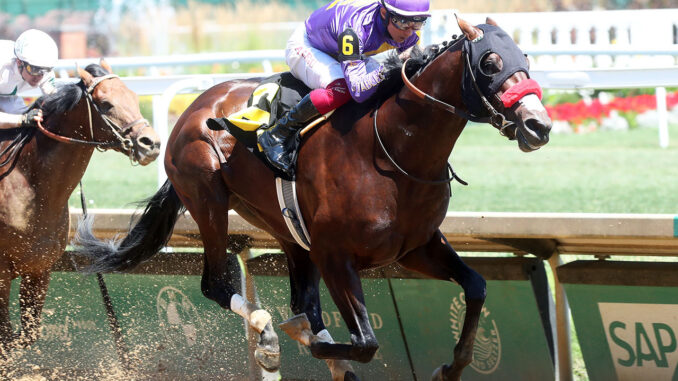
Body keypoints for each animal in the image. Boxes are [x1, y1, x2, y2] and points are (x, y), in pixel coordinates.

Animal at [0, 60, 161, 354]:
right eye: (106, 103)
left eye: (134, 97)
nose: (151, 143)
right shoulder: (1, 274)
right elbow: (6, 340)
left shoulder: (39, 270)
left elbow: (26, 335)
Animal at [73, 18, 552, 380]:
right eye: (490, 62)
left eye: (526, 59)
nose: (539, 126)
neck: (393, 151)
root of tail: (195, 107)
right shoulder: (335, 255)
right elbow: (363, 341)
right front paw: (287, 341)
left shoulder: (415, 247)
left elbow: (476, 286)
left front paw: (450, 368)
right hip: (207, 199)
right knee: (216, 283)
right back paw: (266, 333)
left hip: (287, 231)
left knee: (304, 302)